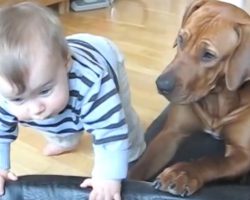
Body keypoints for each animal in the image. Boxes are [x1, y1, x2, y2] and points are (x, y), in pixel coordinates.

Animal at [128, 0, 250, 197]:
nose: (161, 85)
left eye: (208, 55)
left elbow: (212, 161)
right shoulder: (171, 133)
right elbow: (140, 168)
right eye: (181, 39)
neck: (218, 98)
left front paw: (183, 173)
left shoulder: (243, 153)